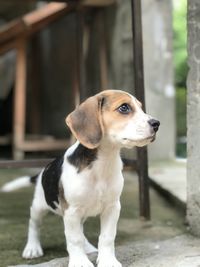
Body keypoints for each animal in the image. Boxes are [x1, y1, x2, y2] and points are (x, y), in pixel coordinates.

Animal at [1, 90, 159, 267]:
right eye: (124, 108)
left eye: (141, 107)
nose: (156, 123)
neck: (103, 163)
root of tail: (42, 171)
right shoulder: (72, 211)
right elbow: (74, 239)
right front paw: (80, 261)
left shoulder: (112, 207)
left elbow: (107, 237)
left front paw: (108, 260)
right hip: (39, 206)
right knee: (34, 225)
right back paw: (32, 248)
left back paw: (88, 247)